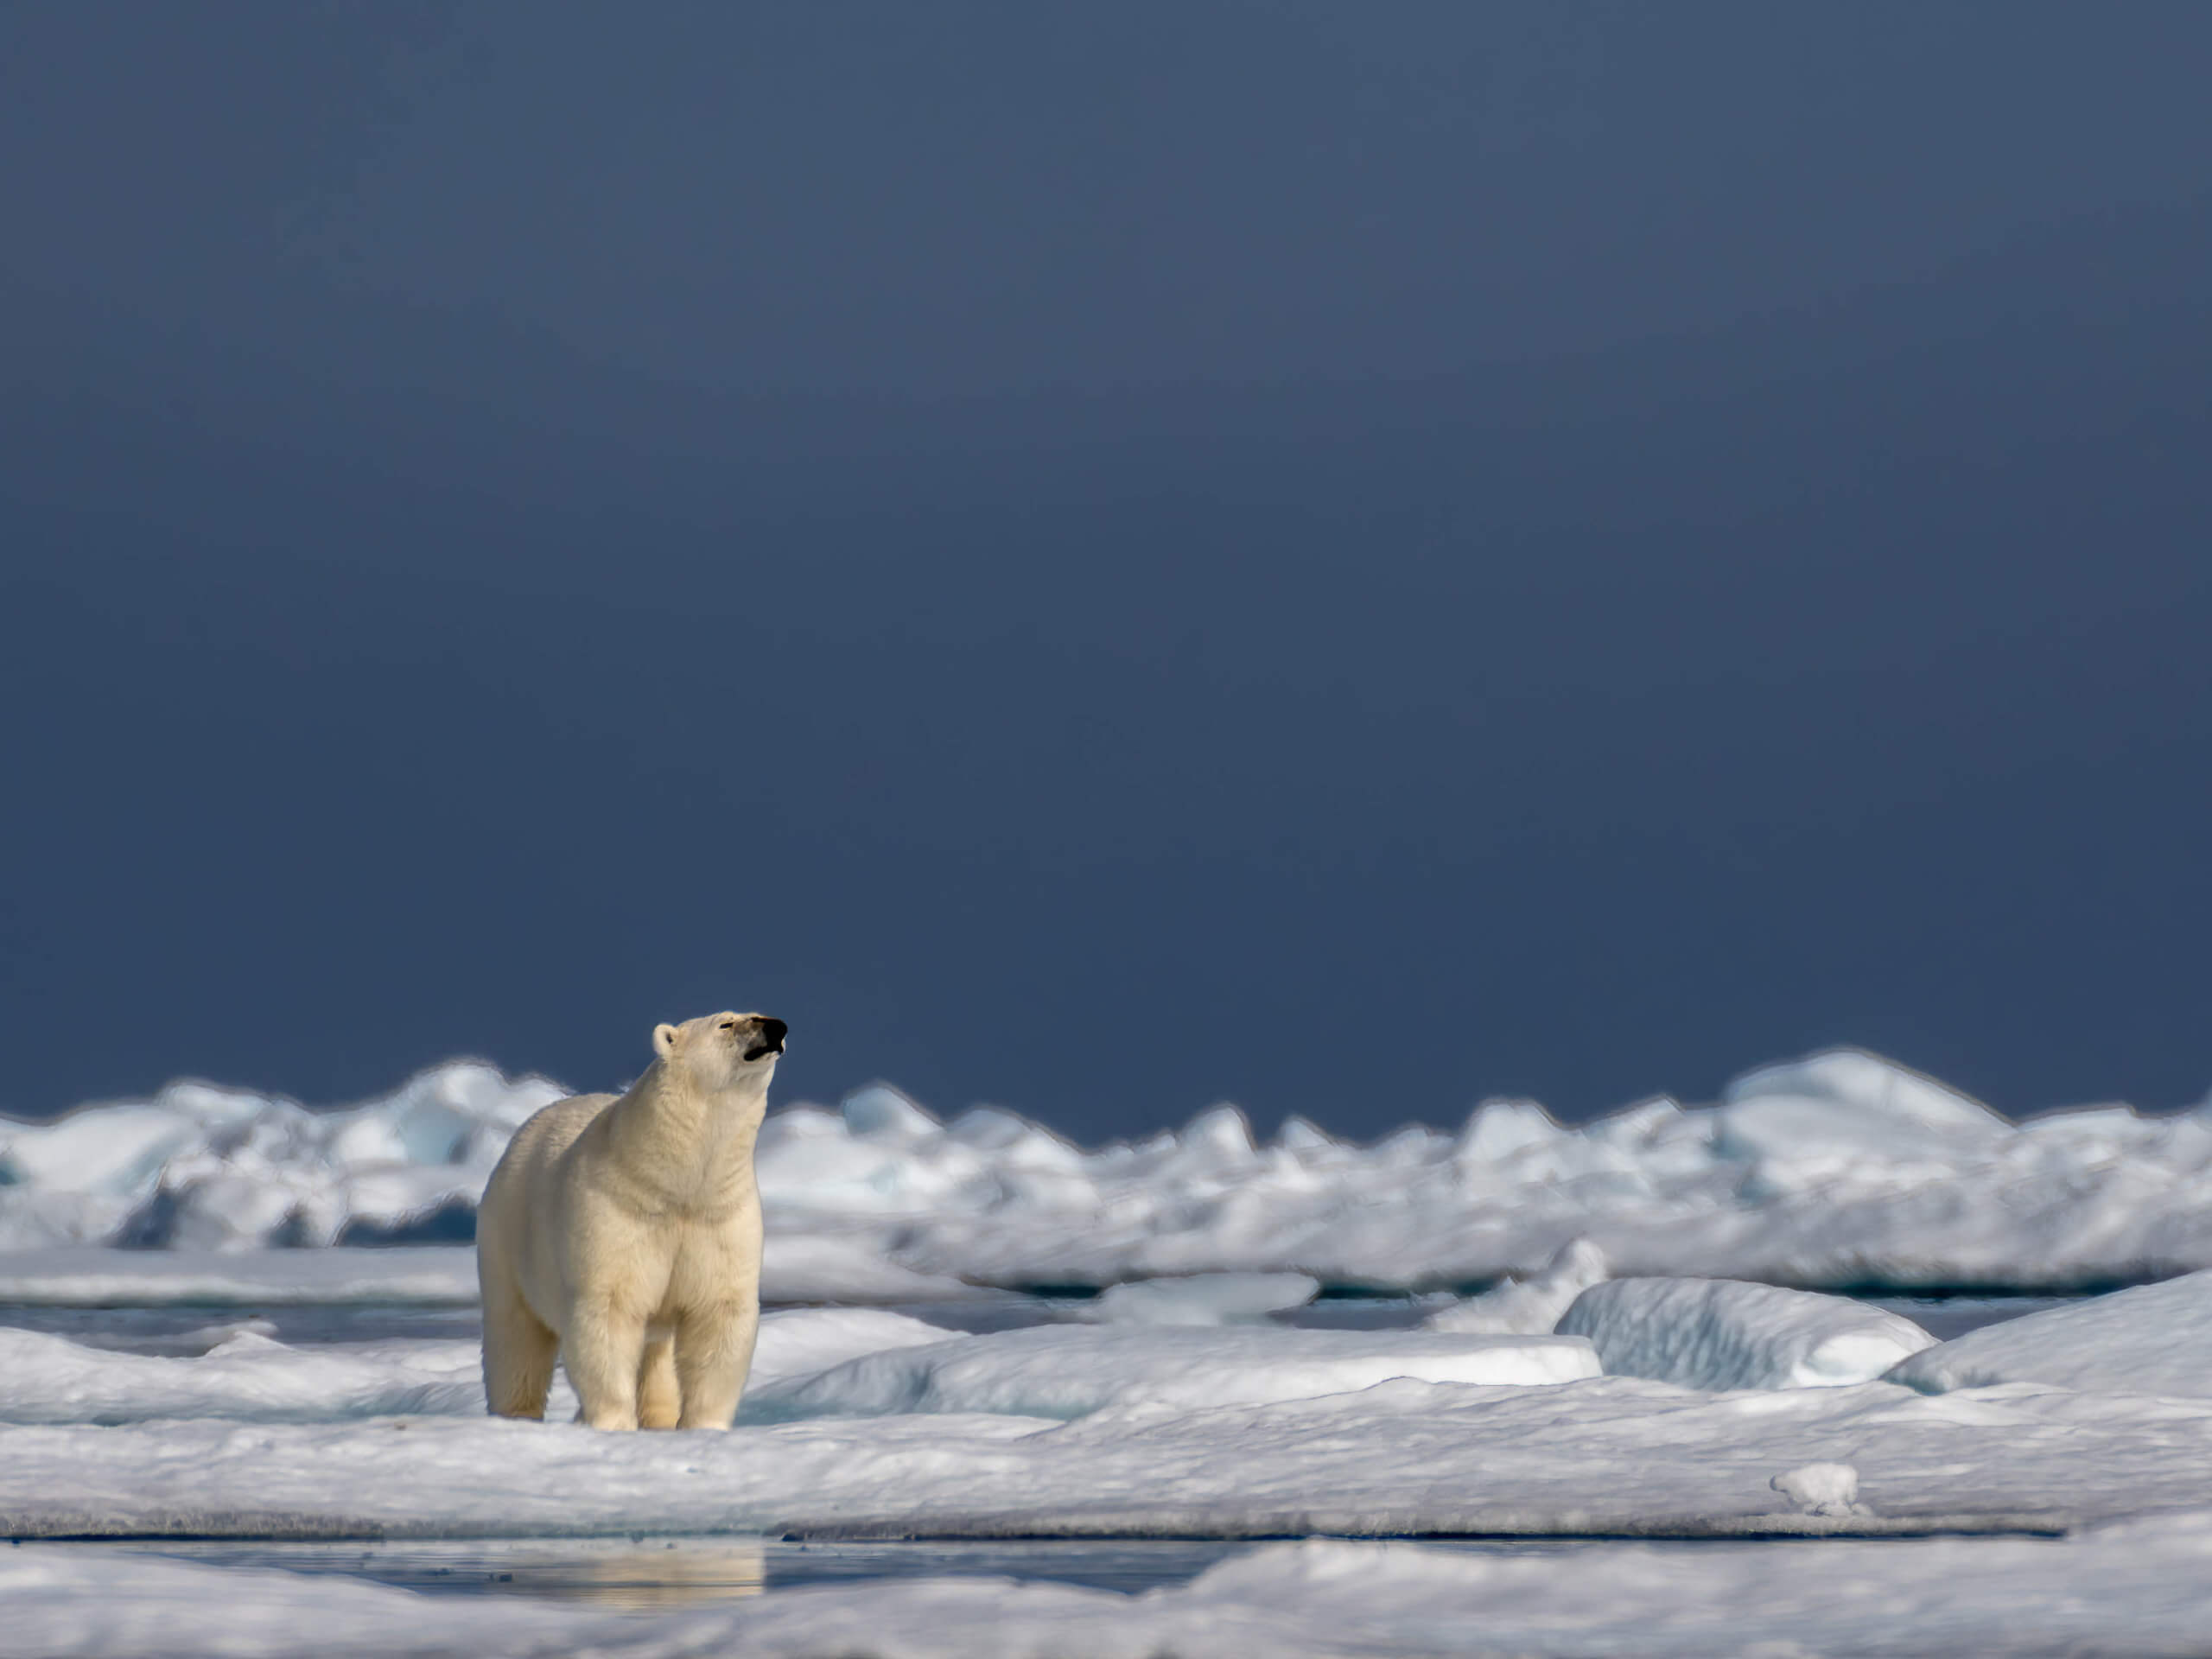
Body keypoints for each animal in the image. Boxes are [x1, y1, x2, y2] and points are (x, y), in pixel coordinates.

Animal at [475, 1013, 787, 1433]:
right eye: (726, 1023)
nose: (777, 1027)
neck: (674, 1184)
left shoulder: (720, 1218)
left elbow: (718, 1313)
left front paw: (705, 1427)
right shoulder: (618, 1214)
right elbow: (611, 1311)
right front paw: (613, 1424)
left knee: (657, 1354)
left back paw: (659, 1417)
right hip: (506, 1237)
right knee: (515, 1335)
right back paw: (516, 1414)